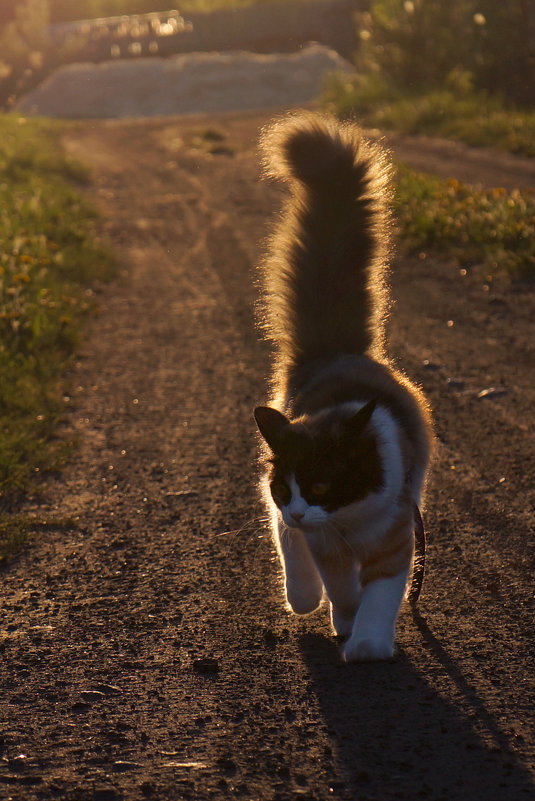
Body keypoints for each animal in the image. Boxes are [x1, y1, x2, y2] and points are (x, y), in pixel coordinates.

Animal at [253, 112, 434, 664]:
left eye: (320, 487)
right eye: (289, 487)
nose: (298, 507)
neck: (347, 522)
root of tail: (336, 350)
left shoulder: (395, 538)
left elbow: (380, 595)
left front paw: (369, 644)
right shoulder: (324, 544)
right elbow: (342, 588)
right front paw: (344, 619)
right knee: (286, 543)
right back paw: (304, 596)